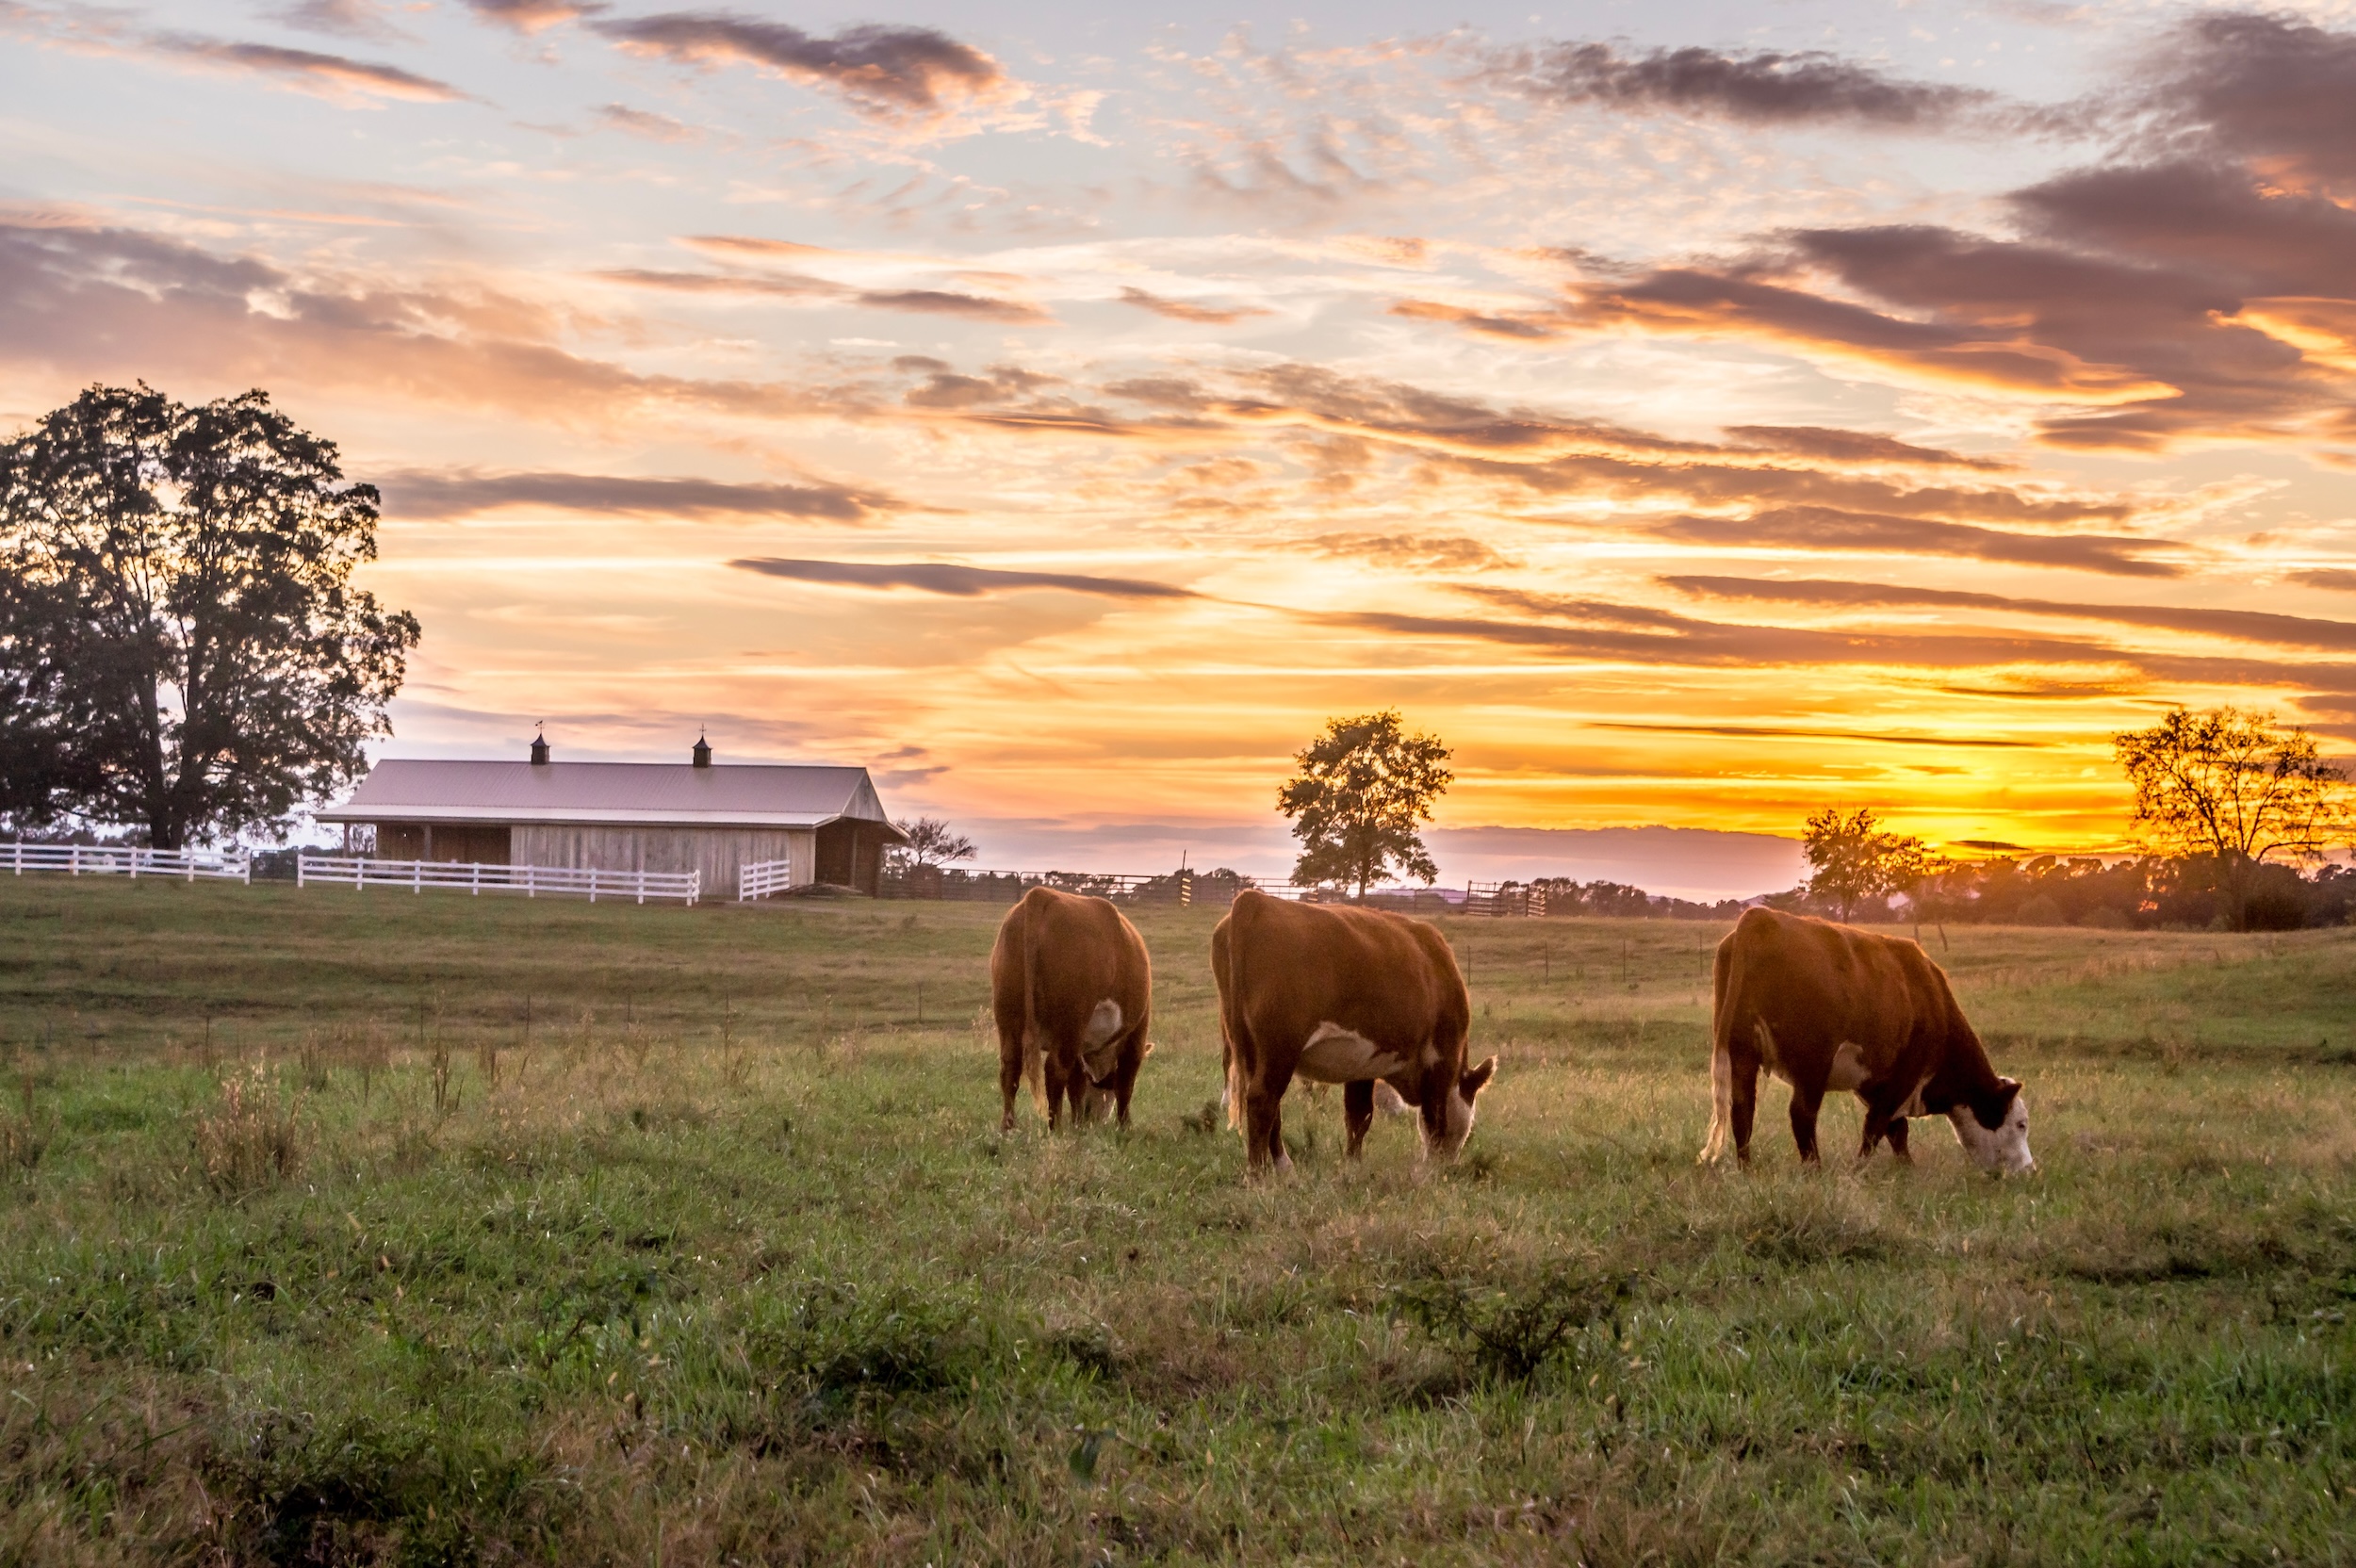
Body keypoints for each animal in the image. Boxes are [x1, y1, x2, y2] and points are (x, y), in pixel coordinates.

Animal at [991, 886, 1153, 1132]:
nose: (1094, 1118)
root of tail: (1041, 894)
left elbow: (1076, 1083)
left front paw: (1077, 1123)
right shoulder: (1137, 1030)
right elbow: (1126, 1081)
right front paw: (1125, 1126)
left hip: (1008, 1017)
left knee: (1010, 1068)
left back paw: (1008, 1128)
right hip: (1071, 1021)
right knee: (1055, 1070)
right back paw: (1055, 1128)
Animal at [1213, 888, 1496, 1175]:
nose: (1450, 1164)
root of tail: (1256, 899)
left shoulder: (1362, 1061)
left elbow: (1357, 1115)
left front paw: (1352, 1164)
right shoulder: (1441, 1060)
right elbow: (1432, 1118)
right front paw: (1429, 1169)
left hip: (1249, 1047)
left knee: (1268, 1104)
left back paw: (1282, 1166)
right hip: (1280, 1047)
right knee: (1263, 1100)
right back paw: (1260, 1173)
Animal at [1699, 906, 2034, 1174]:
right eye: (2021, 1123)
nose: (2029, 1169)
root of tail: (1763, 917)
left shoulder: (1875, 1082)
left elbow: (1897, 1131)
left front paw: (1906, 1168)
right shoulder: (1903, 1076)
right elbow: (1876, 1127)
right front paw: (1860, 1168)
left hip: (1742, 1052)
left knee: (1743, 1109)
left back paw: (1746, 1168)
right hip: (1814, 1061)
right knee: (1802, 1114)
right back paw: (1815, 1169)